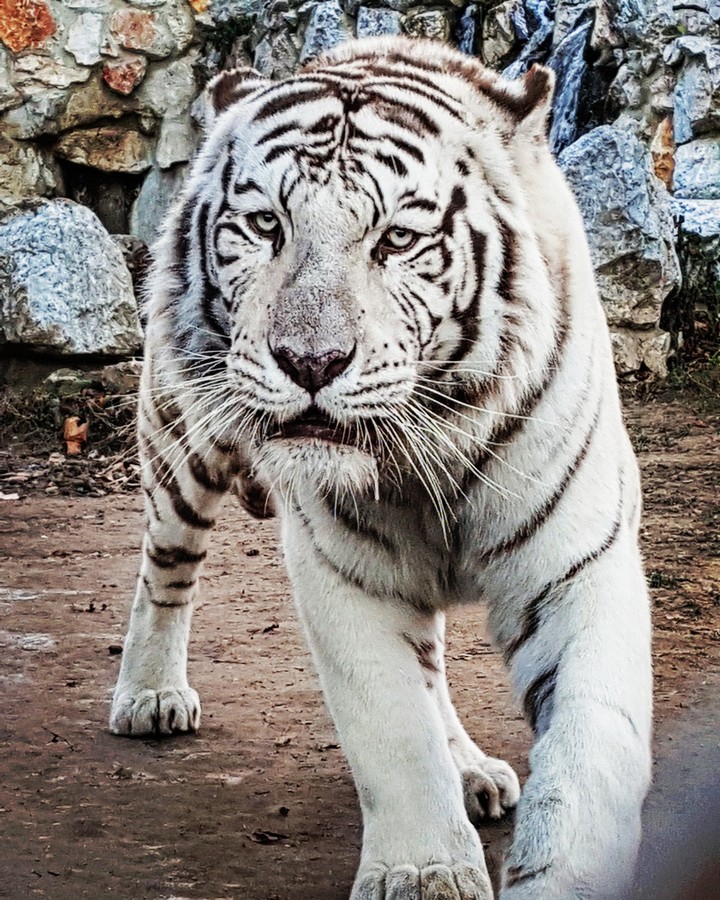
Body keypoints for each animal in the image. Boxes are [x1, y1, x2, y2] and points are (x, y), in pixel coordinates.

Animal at [109, 36, 653, 900]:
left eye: (397, 240)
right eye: (265, 225)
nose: (310, 361)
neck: (434, 448)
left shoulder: (577, 564)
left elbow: (589, 752)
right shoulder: (346, 570)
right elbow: (392, 730)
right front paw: (424, 872)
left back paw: (472, 771)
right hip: (180, 443)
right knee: (164, 571)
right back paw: (150, 694)